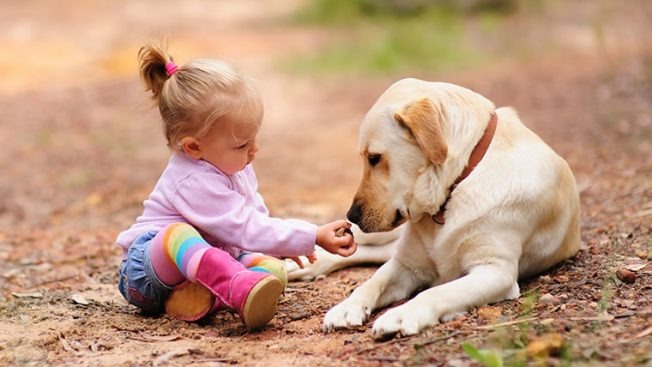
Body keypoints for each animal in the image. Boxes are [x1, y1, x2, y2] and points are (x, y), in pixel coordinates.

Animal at [320, 79, 580, 340]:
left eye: (374, 158)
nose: (352, 215)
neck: (461, 178)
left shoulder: (496, 271)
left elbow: (435, 292)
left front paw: (402, 314)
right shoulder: (406, 264)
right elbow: (372, 282)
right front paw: (346, 307)